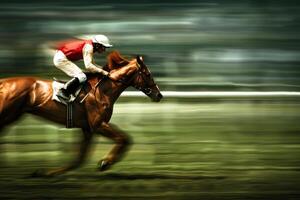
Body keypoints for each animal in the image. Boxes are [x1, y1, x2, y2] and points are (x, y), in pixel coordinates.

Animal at [0, 51, 163, 177]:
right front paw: (105, 162)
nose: (159, 95)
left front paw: (46, 173)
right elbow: (124, 138)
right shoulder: (97, 125)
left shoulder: (88, 129)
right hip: (6, 115)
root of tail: (3, 82)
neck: (103, 90)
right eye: (148, 74)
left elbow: (79, 159)